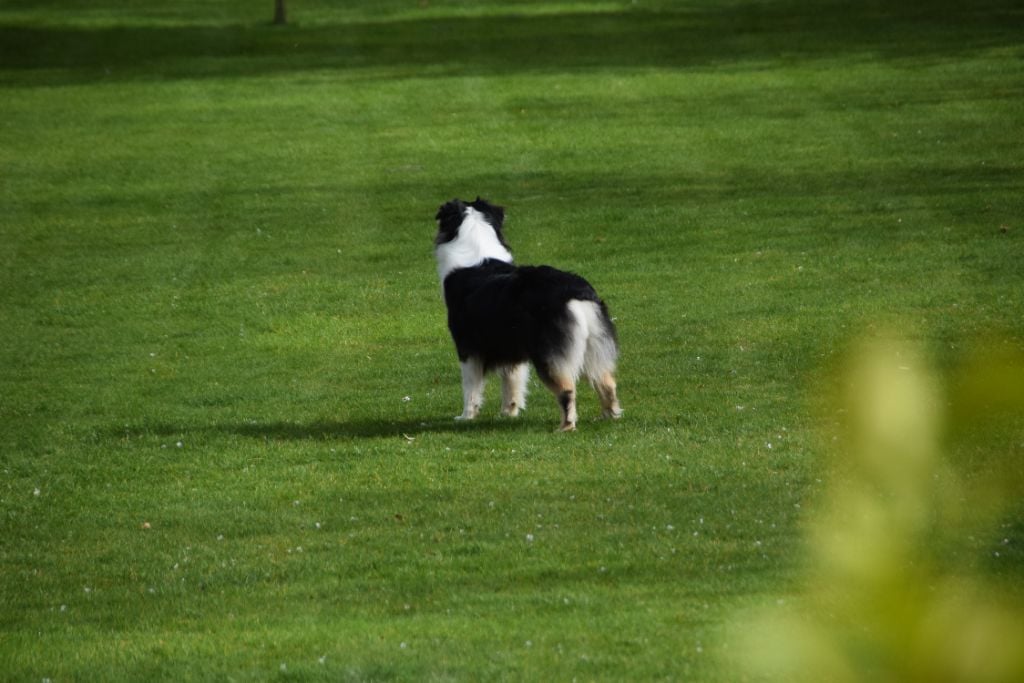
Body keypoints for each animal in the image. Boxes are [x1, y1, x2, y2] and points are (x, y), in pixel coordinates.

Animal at [434, 197, 622, 431]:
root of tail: (575, 292)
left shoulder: (467, 347)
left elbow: (471, 387)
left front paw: (466, 416)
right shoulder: (510, 345)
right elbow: (512, 380)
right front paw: (509, 412)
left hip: (548, 354)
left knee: (567, 389)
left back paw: (565, 427)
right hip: (593, 344)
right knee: (607, 381)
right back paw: (609, 416)